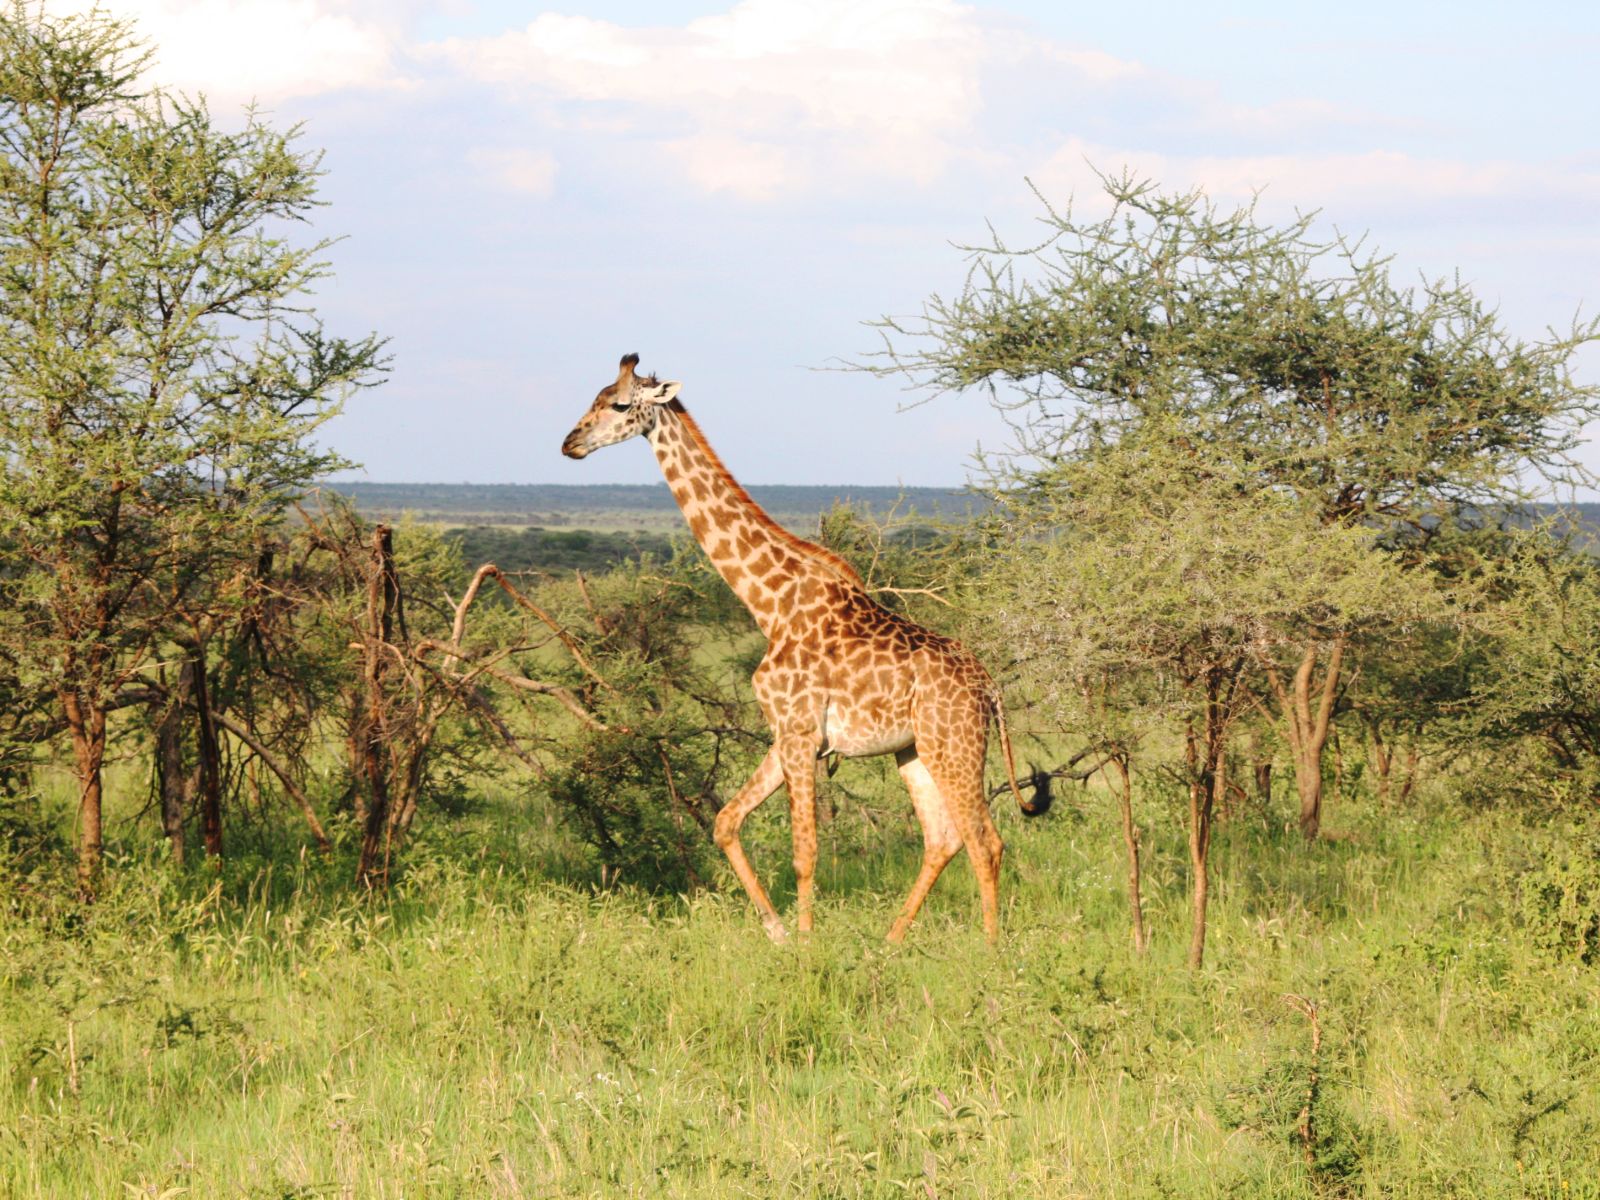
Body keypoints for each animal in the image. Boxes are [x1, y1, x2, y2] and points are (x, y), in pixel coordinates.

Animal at [561, 354, 1036, 943]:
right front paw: (778, 931)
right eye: (594, 398)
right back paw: (891, 942)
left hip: (954, 744)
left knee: (985, 841)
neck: (769, 602)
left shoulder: (801, 732)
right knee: (943, 838)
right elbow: (725, 822)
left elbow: (804, 850)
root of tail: (990, 688)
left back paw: (991, 951)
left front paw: (806, 945)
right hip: (914, 750)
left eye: (620, 403)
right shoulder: (786, 732)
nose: (571, 443)